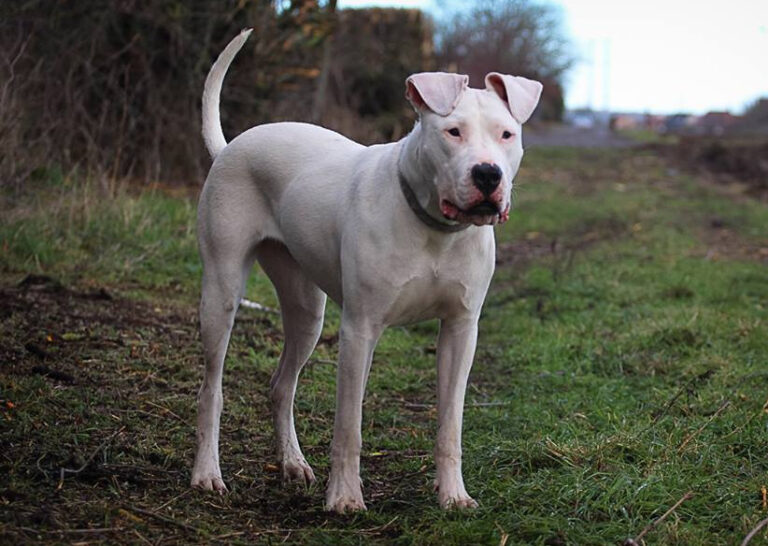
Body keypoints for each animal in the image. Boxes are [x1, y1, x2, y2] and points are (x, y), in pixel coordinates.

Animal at [191, 29, 540, 510]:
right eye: (452, 132)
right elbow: (349, 426)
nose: (488, 174)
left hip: (306, 310)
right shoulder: (360, 329)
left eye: (507, 134)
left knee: (282, 384)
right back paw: (207, 473)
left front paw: (453, 494)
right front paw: (344, 497)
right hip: (221, 291)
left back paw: (292, 463)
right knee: (212, 388)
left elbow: (450, 424)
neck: (435, 227)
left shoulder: (461, 329)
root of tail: (232, 145)